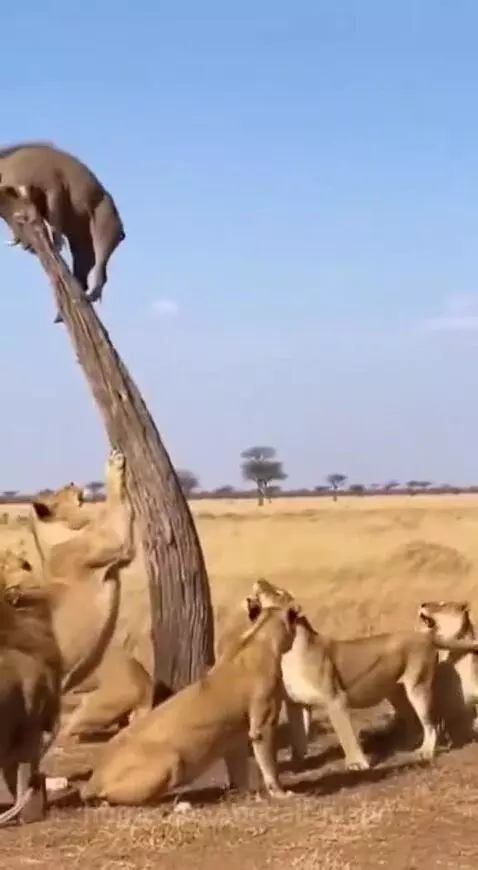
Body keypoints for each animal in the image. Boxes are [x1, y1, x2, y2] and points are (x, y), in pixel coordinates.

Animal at [28, 448, 135, 699]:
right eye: (59, 492)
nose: (72, 482)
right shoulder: (113, 538)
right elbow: (114, 505)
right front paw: (114, 463)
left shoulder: (123, 557)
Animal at [80, 601, 300, 805]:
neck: (258, 636)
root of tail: (94, 778)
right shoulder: (263, 725)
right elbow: (269, 765)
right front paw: (280, 793)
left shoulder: (234, 738)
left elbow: (238, 769)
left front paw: (249, 795)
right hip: (173, 760)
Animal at [247, 578, 478, 770]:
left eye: (278, 592)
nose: (259, 580)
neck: (287, 651)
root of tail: (424, 635)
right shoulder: (296, 704)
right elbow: (298, 736)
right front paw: (296, 763)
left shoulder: (335, 699)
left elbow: (345, 734)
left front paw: (357, 763)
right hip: (397, 694)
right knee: (414, 720)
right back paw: (409, 744)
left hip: (418, 687)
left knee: (432, 723)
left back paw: (426, 752)